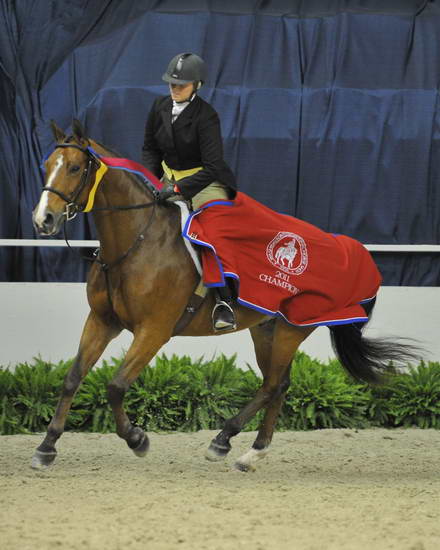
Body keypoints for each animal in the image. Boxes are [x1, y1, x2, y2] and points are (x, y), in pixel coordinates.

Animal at [31, 121, 420, 474]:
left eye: (76, 168)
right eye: (47, 165)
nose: (43, 220)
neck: (136, 243)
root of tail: (352, 253)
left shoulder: (154, 331)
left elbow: (115, 386)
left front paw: (137, 439)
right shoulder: (102, 321)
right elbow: (72, 378)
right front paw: (46, 447)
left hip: (292, 328)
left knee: (273, 384)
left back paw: (223, 441)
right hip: (266, 329)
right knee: (279, 385)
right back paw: (251, 454)